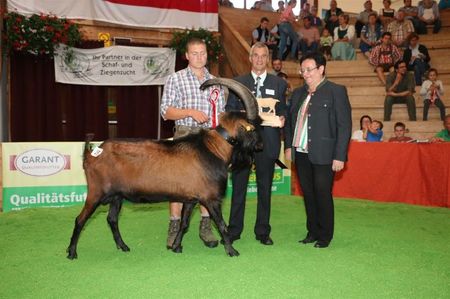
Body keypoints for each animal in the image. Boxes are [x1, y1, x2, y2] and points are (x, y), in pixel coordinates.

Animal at [67, 79, 262, 260]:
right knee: (80, 219)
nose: (261, 145)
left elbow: (184, 223)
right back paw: (72, 252)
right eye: (253, 128)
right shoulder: (211, 198)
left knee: (112, 219)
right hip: (96, 192)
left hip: (116, 196)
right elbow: (221, 224)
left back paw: (123, 246)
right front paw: (232, 250)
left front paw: (176, 247)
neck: (213, 149)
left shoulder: (191, 198)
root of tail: (91, 154)